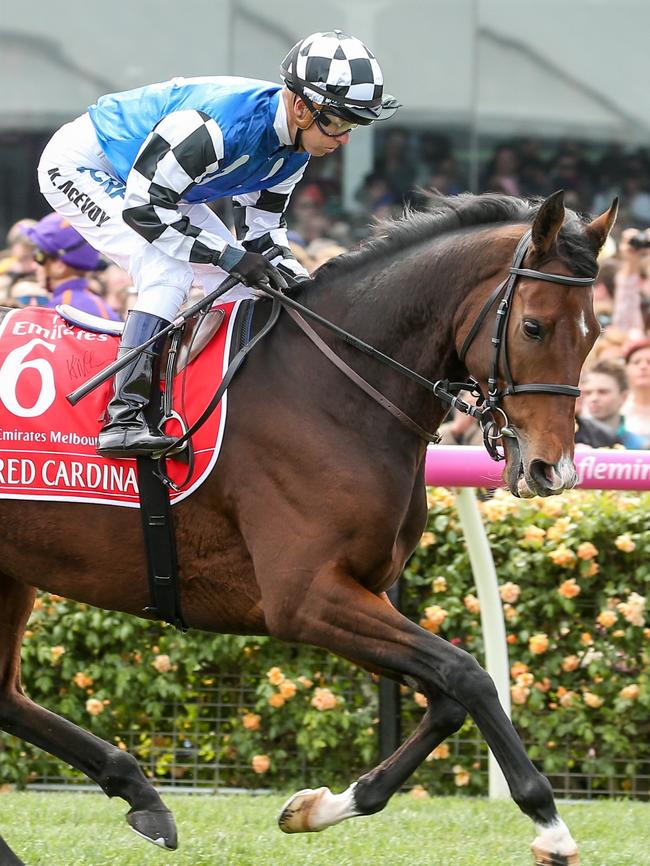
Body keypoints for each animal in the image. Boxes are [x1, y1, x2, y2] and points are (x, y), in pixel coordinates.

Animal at [0, 191, 612, 864]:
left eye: (595, 333)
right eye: (534, 327)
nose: (552, 469)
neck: (332, 387)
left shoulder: (359, 591)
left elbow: (447, 700)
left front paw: (319, 807)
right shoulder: (304, 599)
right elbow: (467, 675)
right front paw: (549, 824)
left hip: (10, 574)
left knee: (3, 697)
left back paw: (140, 794)